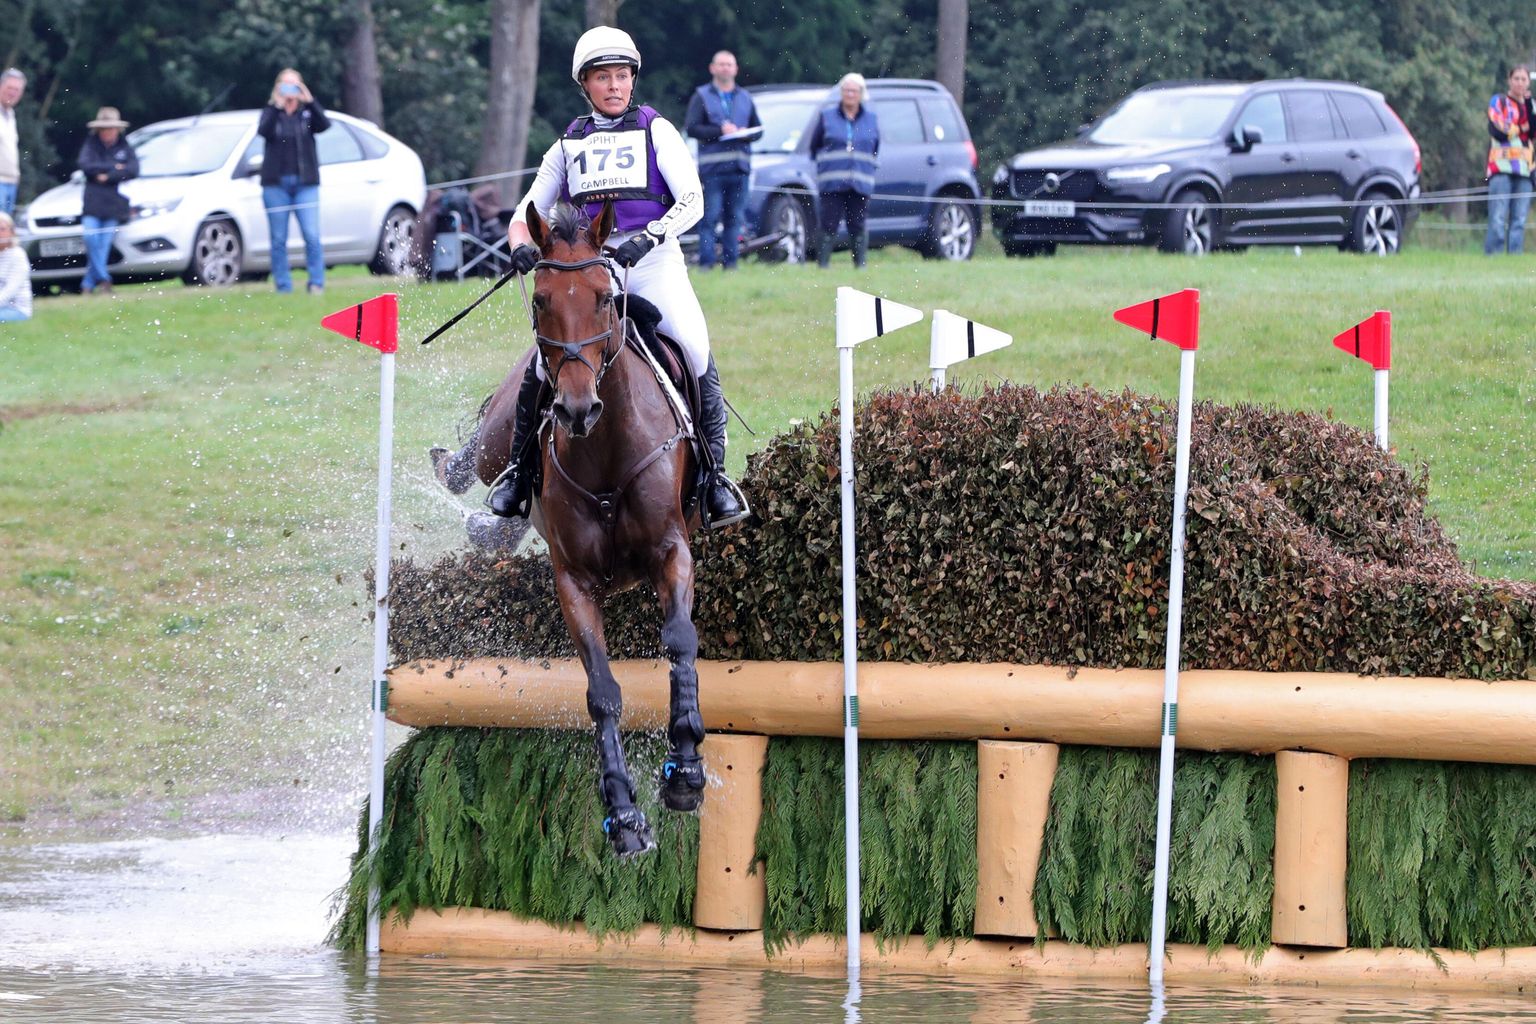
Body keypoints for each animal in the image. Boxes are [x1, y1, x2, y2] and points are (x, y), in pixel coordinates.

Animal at [434, 200, 708, 857]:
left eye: (605, 299)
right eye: (540, 300)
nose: (576, 410)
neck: (603, 449)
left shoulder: (672, 551)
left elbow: (680, 641)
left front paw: (685, 770)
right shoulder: (575, 581)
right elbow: (602, 691)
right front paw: (624, 814)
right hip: (509, 419)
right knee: (486, 457)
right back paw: (462, 484)